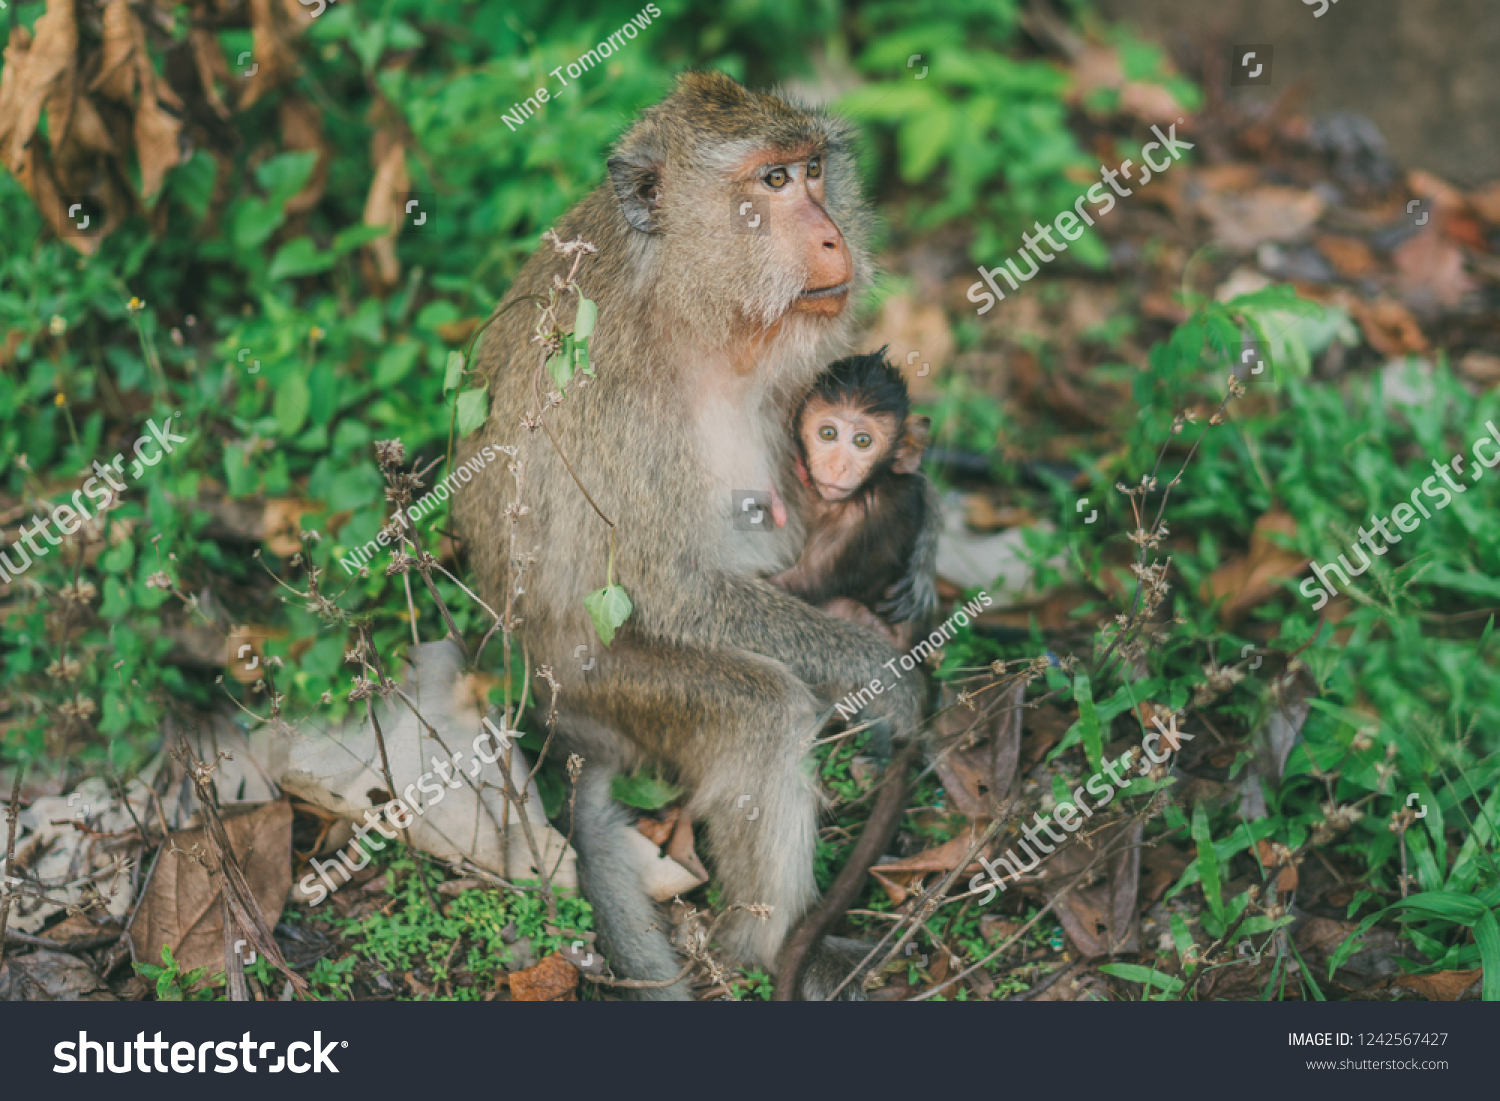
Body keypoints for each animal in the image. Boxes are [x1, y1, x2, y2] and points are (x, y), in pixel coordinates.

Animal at [774, 349, 936, 651]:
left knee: (840, 606)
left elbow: (801, 583)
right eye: (828, 433)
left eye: (863, 441)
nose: (837, 467)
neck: (871, 484)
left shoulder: (862, 518)